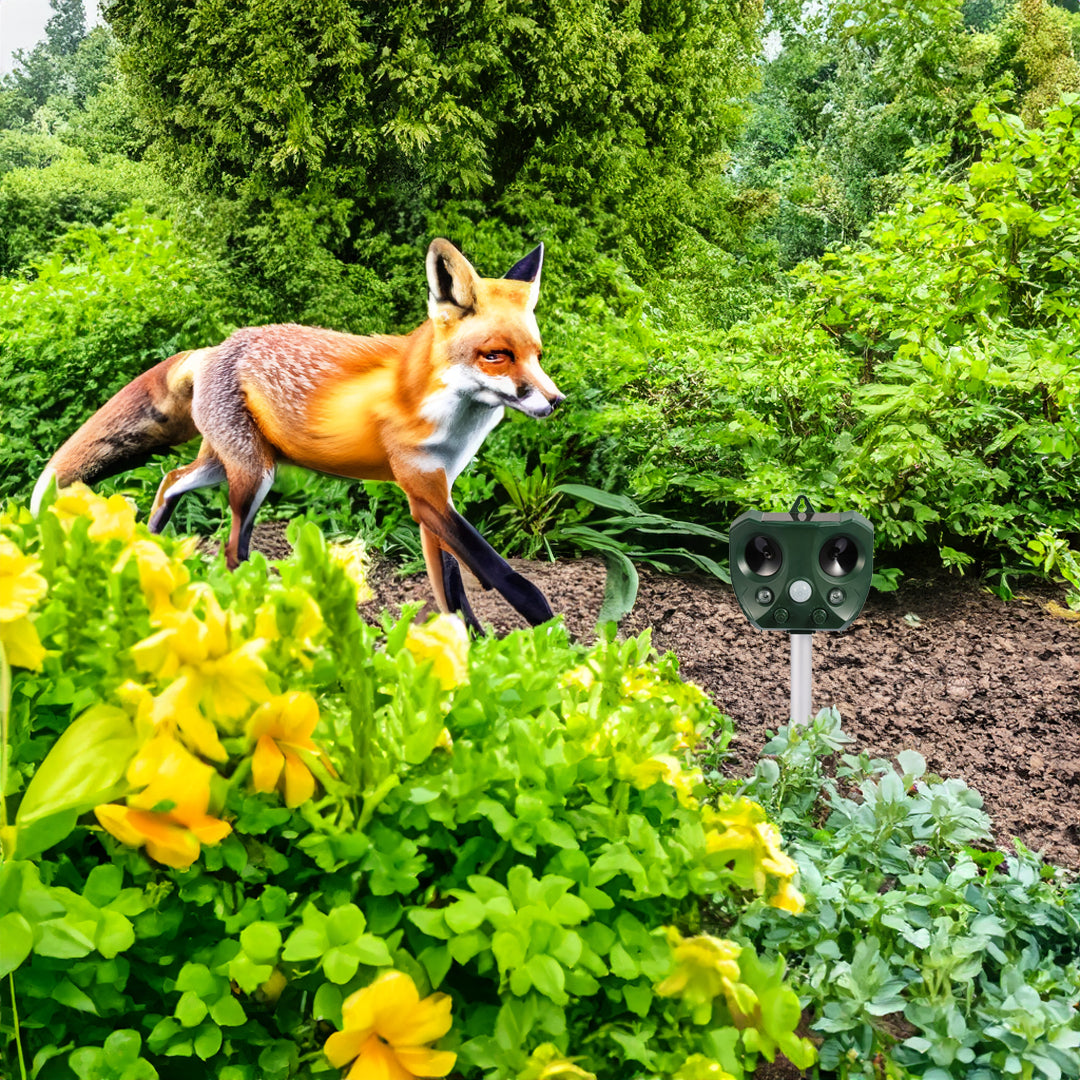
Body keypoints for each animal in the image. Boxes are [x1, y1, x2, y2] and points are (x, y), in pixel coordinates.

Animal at [31, 239, 565, 630]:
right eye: (497, 356)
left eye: (537, 355)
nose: (556, 400)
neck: (451, 417)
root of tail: (213, 347)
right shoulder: (422, 493)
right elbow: (505, 575)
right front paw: (550, 639)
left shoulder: (438, 492)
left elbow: (451, 587)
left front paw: (472, 653)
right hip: (255, 474)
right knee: (231, 548)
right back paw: (251, 604)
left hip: (226, 462)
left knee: (170, 480)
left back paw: (150, 544)